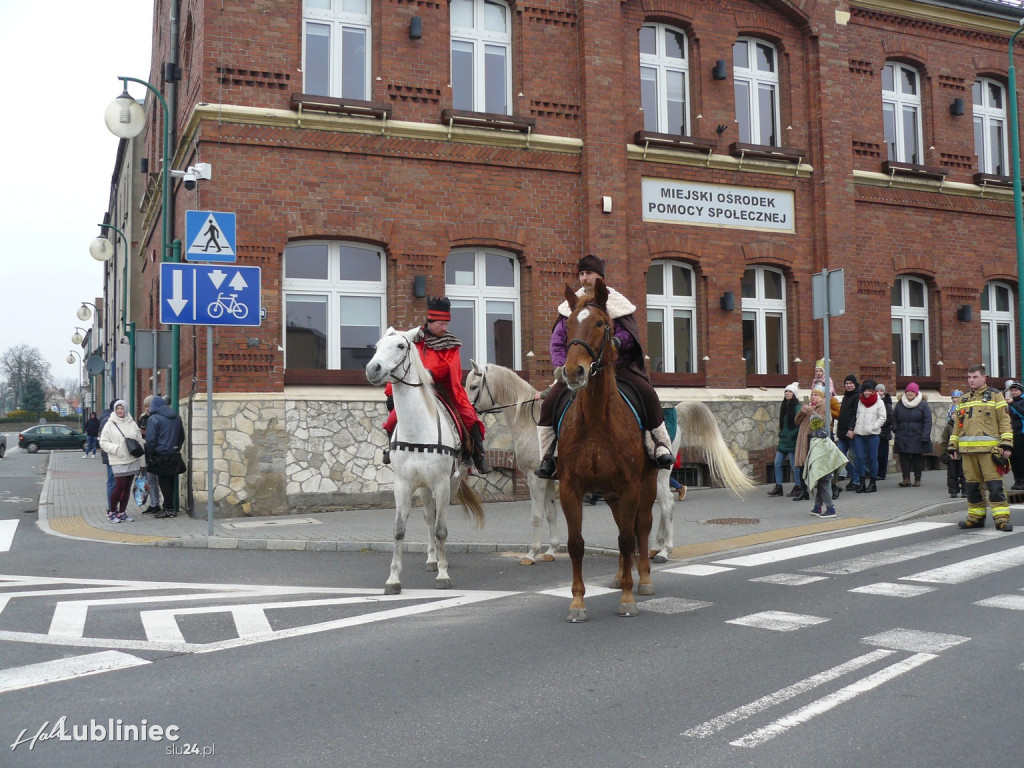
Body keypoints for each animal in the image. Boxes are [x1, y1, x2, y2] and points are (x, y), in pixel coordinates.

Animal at [364, 327, 483, 598]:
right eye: (376, 346)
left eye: (400, 346)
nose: (373, 369)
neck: (417, 428)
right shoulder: (403, 485)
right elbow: (399, 530)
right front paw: (393, 580)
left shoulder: (441, 483)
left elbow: (441, 529)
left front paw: (443, 574)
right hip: (425, 489)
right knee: (430, 516)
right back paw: (431, 558)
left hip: (450, 484)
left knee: (440, 519)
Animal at [464, 364, 753, 561]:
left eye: (474, 386)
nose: (468, 411)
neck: (531, 421)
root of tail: (671, 414)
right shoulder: (546, 478)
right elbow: (550, 514)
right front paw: (551, 549)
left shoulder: (535, 478)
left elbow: (536, 516)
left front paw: (532, 554)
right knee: (662, 506)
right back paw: (656, 546)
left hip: (658, 474)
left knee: (668, 505)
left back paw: (664, 550)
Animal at [561, 280, 655, 622]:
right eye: (568, 324)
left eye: (601, 324)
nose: (573, 372)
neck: (597, 423)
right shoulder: (570, 488)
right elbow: (576, 544)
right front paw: (577, 603)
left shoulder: (629, 487)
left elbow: (627, 540)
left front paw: (628, 598)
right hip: (612, 495)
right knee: (620, 527)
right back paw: (617, 576)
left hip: (647, 485)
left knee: (641, 527)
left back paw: (644, 579)